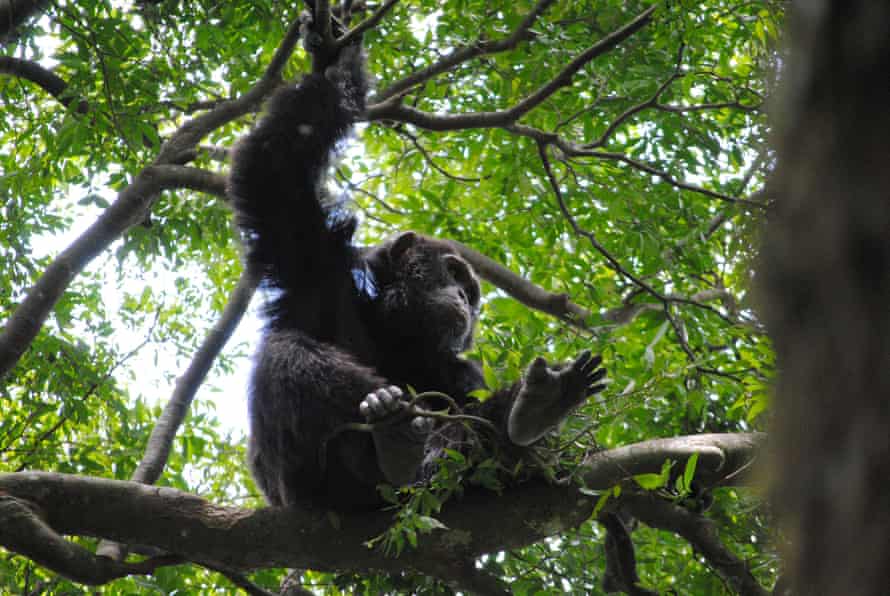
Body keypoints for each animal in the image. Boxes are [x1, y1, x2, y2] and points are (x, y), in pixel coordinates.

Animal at [228, 13, 607, 511]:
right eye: (454, 275)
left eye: (470, 294)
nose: (463, 299)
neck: (392, 323)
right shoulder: (309, 252)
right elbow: (279, 163)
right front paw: (336, 52)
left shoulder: (463, 367)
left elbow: (471, 406)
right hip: (301, 487)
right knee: (286, 350)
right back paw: (397, 430)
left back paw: (532, 407)